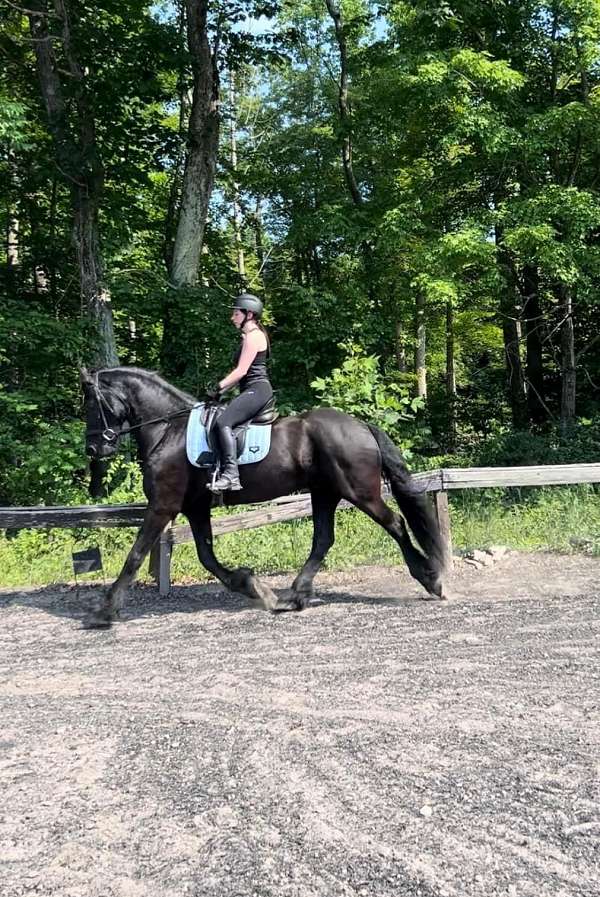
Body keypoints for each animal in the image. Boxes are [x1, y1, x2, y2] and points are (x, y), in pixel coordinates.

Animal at [82, 368, 448, 628]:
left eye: (92, 404)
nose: (94, 449)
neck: (168, 431)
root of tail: (361, 425)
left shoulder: (163, 507)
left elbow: (135, 555)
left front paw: (104, 612)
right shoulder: (195, 508)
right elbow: (207, 557)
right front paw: (252, 585)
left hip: (359, 492)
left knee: (395, 524)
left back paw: (431, 579)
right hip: (324, 493)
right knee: (323, 539)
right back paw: (294, 596)